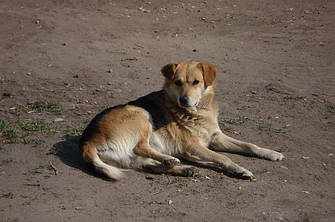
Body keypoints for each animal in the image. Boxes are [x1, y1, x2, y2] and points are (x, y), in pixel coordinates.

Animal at [80, 61, 284, 180]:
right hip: (141, 113)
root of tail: (87, 141)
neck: (198, 111)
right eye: (177, 82)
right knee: (141, 147)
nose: (184, 100)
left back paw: (184, 169)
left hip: (133, 157)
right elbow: (223, 157)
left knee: (152, 166)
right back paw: (171, 159)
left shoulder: (216, 138)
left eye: (196, 82)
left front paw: (270, 153)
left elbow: (249, 145)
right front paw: (240, 168)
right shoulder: (193, 146)